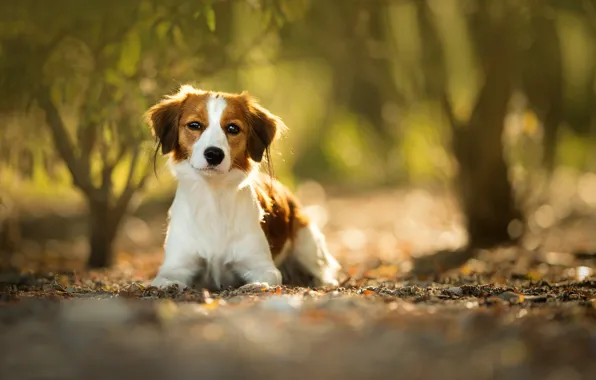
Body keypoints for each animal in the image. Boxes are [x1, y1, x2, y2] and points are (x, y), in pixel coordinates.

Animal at [144, 85, 340, 290]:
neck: (213, 199)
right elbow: (164, 279)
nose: (214, 154)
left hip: (306, 244)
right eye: (194, 125)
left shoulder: (264, 267)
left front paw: (255, 285)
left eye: (233, 128)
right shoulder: (176, 265)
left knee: (323, 269)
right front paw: (170, 285)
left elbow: (264, 279)